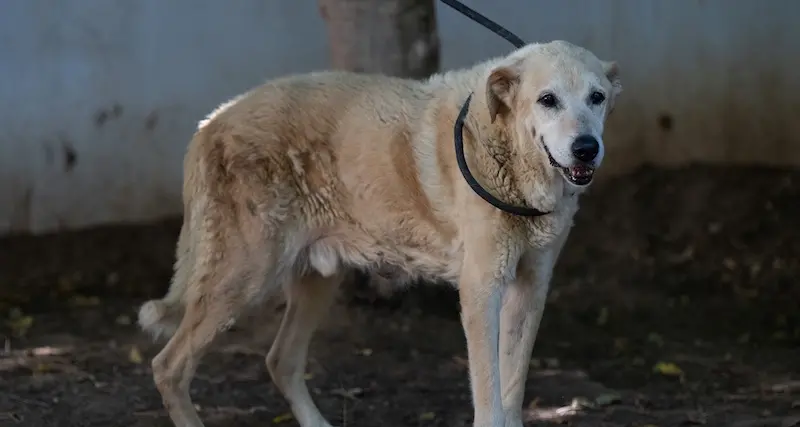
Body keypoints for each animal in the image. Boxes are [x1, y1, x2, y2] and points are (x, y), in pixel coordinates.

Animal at [138, 41, 624, 427]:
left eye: (597, 98)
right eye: (548, 100)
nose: (587, 148)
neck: (509, 154)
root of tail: (211, 123)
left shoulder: (531, 287)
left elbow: (512, 392)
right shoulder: (482, 289)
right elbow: (490, 401)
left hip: (316, 279)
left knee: (281, 361)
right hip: (243, 278)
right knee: (169, 367)